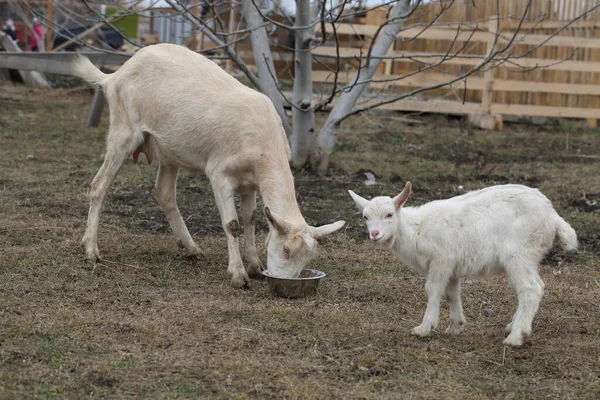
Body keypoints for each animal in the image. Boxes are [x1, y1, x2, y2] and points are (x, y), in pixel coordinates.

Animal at [71, 43, 342, 288]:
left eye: (308, 258)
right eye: (286, 250)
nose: (285, 279)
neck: (264, 144)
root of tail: (115, 75)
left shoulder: (250, 184)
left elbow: (250, 219)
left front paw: (254, 266)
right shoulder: (219, 173)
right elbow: (232, 225)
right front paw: (239, 276)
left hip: (170, 151)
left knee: (164, 193)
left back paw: (192, 248)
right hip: (124, 130)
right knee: (99, 185)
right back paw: (91, 250)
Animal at [350, 183, 580, 346]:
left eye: (389, 214)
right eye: (365, 217)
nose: (374, 234)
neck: (417, 230)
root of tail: (553, 217)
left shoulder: (441, 260)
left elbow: (433, 290)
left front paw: (424, 327)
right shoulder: (452, 266)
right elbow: (452, 293)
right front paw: (455, 326)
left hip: (519, 253)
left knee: (531, 288)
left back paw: (516, 336)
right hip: (528, 255)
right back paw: (512, 326)